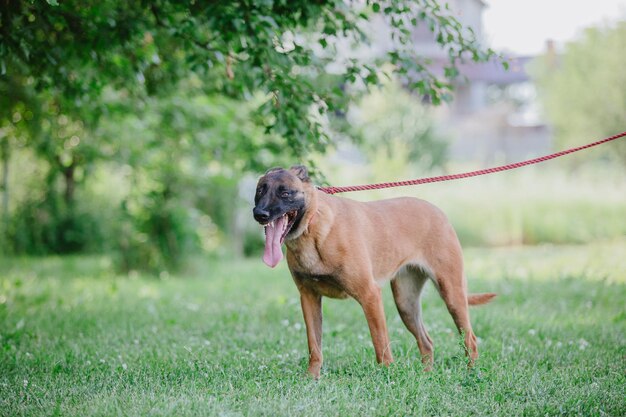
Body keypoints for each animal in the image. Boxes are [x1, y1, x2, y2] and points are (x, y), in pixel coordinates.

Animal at [252, 165, 492, 376]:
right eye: (260, 190)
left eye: (285, 192)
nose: (259, 214)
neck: (314, 228)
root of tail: (439, 212)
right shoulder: (309, 298)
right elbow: (314, 346)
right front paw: (312, 377)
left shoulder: (370, 295)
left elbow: (380, 343)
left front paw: (388, 376)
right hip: (406, 303)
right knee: (427, 342)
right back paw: (427, 375)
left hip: (451, 294)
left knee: (470, 339)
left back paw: (471, 374)